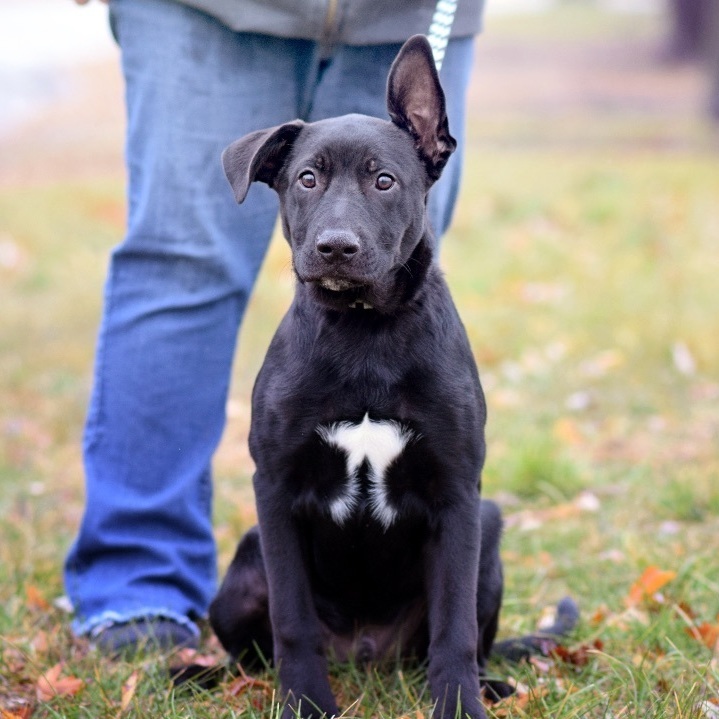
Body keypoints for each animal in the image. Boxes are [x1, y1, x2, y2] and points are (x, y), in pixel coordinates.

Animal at [211, 36, 506, 719]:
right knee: (249, 652)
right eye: (307, 178)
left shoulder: (459, 495)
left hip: (490, 529)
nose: (336, 248)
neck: (365, 332)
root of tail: (366, 654)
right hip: (242, 566)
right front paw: (306, 703)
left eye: (384, 180)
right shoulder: (274, 490)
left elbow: (454, 627)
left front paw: (459, 705)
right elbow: (292, 620)